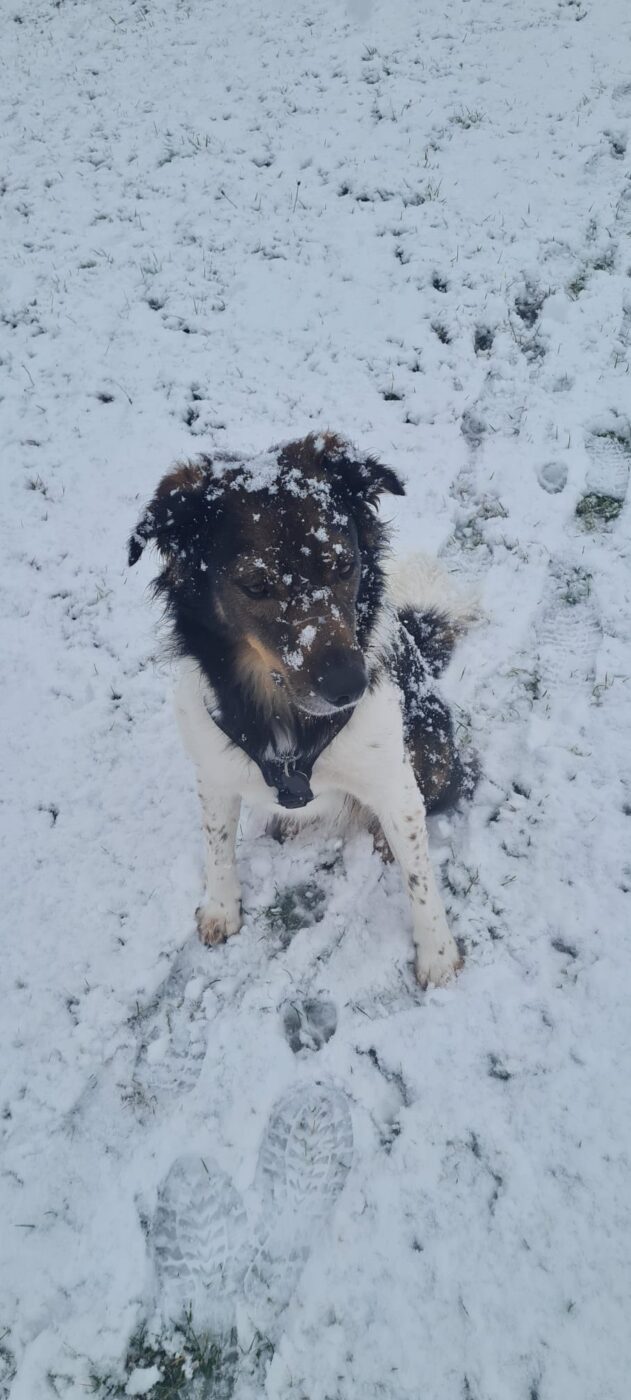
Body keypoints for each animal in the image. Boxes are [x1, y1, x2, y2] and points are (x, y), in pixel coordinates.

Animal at [129, 432, 477, 987]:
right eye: (256, 585)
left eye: (344, 565)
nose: (351, 686)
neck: (283, 711)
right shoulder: (214, 773)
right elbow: (217, 845)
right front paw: (221, 909)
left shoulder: (392, 778)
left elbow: (420, 874)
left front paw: (438, 955)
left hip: (434, 754)